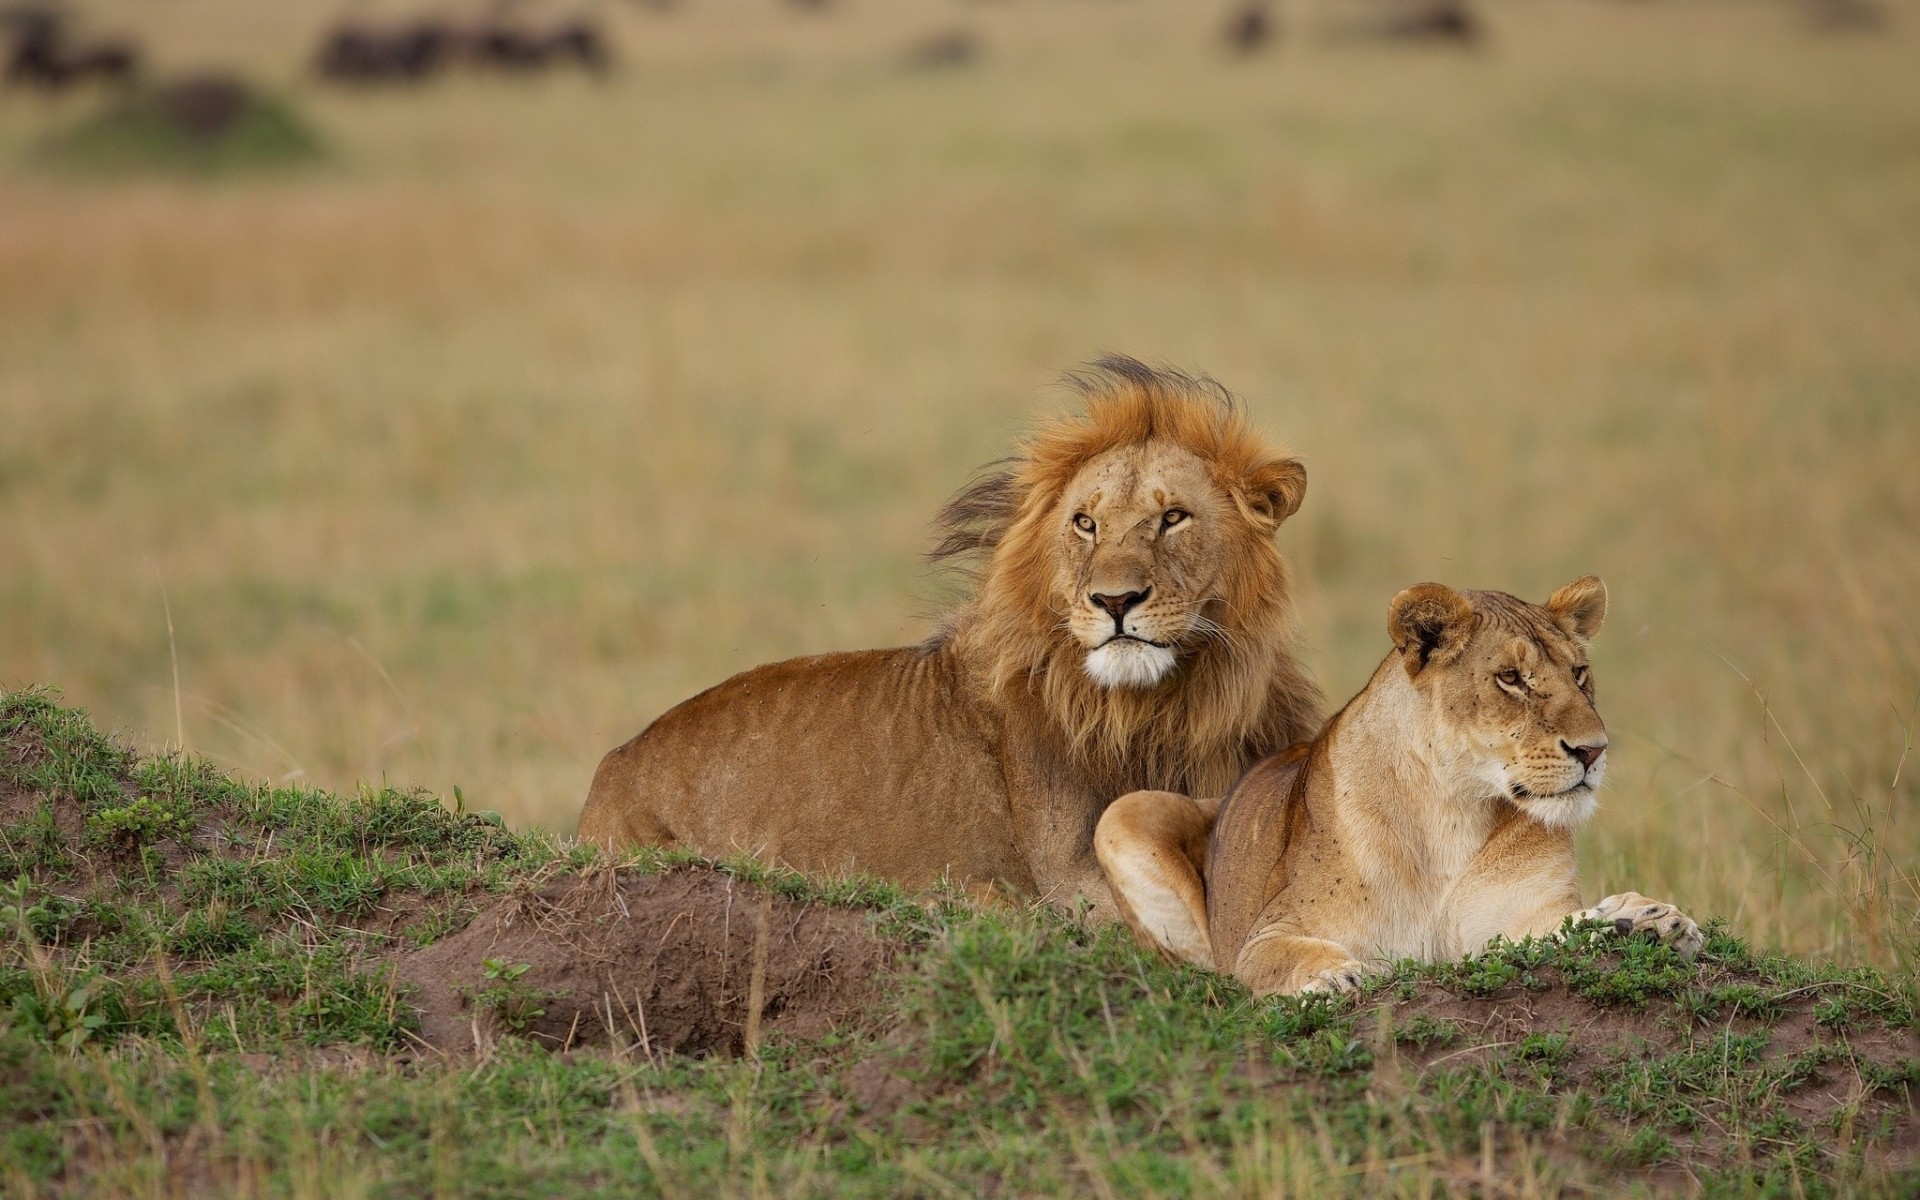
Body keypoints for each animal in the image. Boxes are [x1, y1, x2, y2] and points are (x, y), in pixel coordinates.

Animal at [578, 356, 1324, 916]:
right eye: (1085, 523)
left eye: (1174, 518)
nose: (1114, 601)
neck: (1170, 708)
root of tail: (611, 768)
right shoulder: (1073, 877)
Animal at [1094, 575, 1703, 995]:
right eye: (1510, 678)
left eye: (1578, 673)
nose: (1593, 750)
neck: (1453, 810)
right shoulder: (1265, 934)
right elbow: (1284, 955)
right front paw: (1334, 977)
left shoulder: (1519, 921)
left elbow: (1565, 926)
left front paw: (1652, 920)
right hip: (1124, 811)